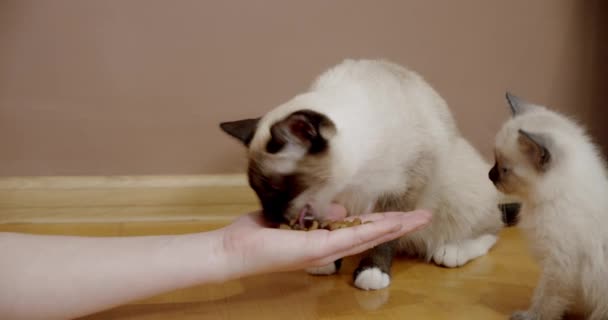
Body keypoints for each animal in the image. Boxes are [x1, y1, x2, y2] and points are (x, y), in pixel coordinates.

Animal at [221, 59, 516, 290]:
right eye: (257, 191)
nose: (271, 219)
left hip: (454, 185)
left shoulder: (404, 188)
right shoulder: (333, 200)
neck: (351, 180)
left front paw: (371, 272)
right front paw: (327, 260)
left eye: (275, 189)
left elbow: (385, 239)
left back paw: (452, 251)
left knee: (493, 228)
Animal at [490, 93, 608, 320]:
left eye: (505, 169)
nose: (489, 175)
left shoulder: (559, 265)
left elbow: (545, 299)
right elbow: (560, 299)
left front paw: (529, 316)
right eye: (494, 160)